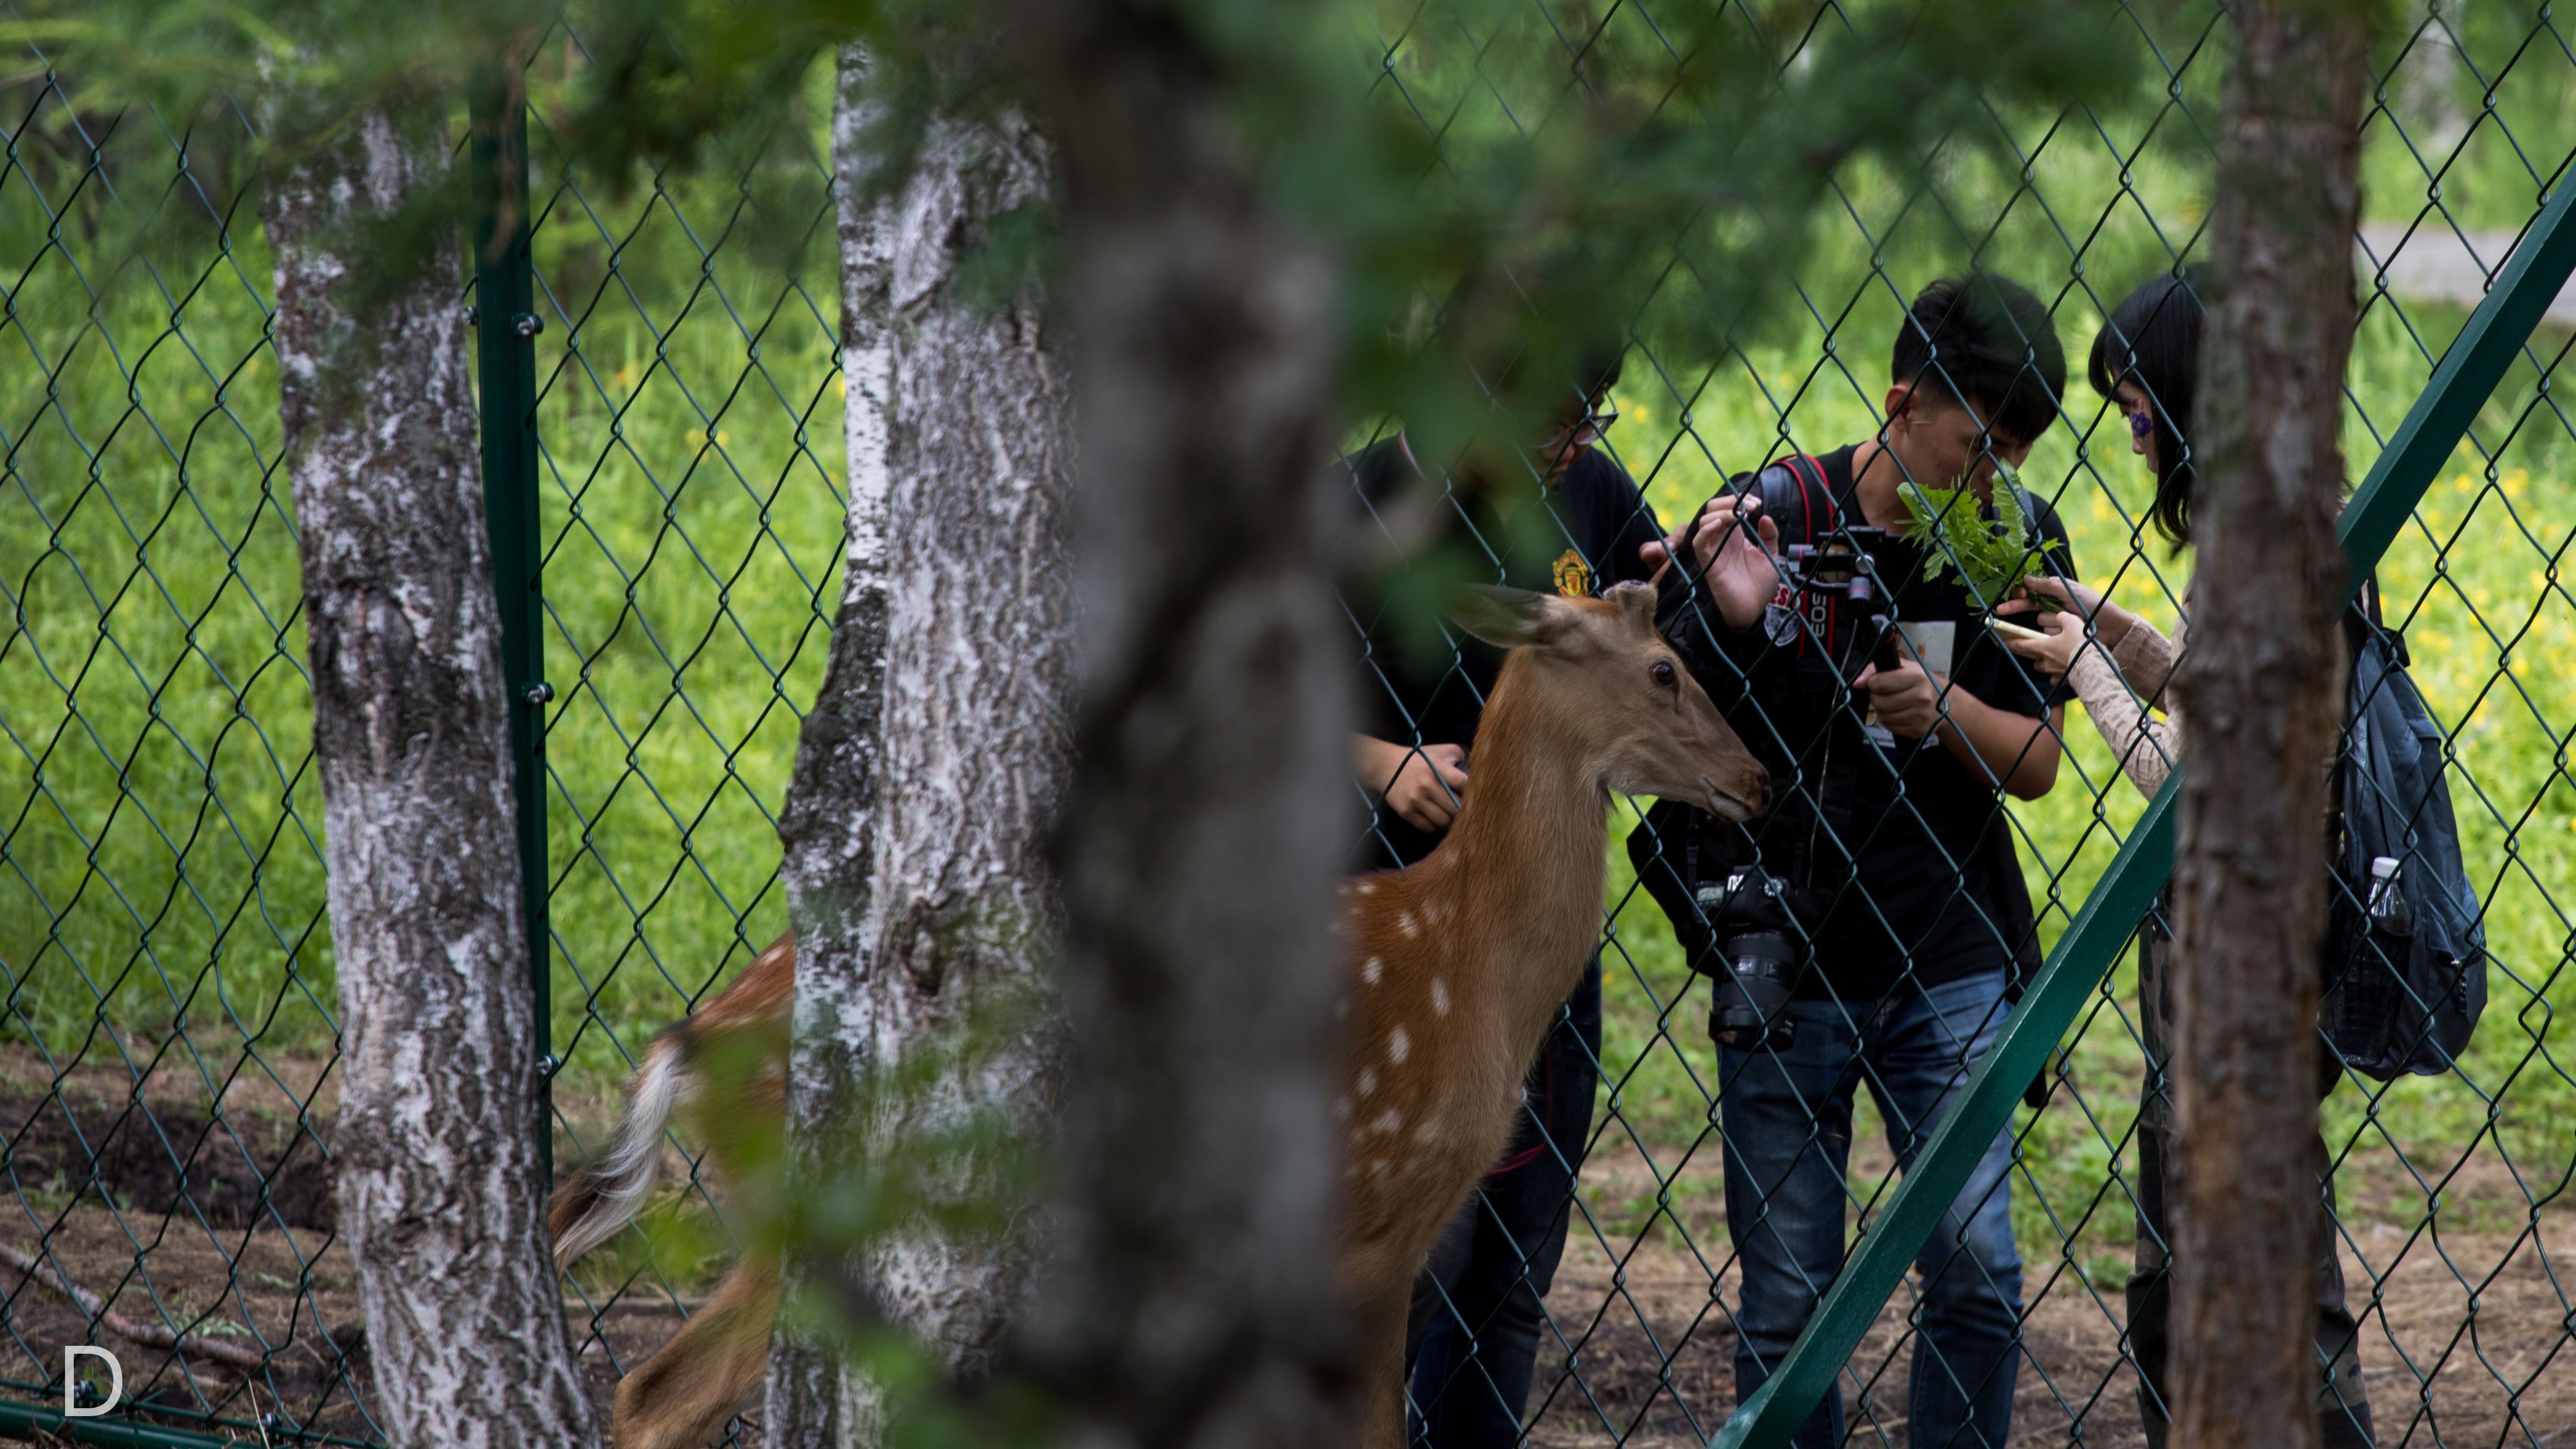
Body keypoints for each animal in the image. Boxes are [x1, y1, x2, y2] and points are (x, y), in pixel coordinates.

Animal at [541, 575, 1751, 1443]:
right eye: (1663, 668)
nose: (1759, 778)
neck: (1468, 967)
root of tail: (692, 1035)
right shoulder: (1369, 1219)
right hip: (818, 1202)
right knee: (662, 1391)